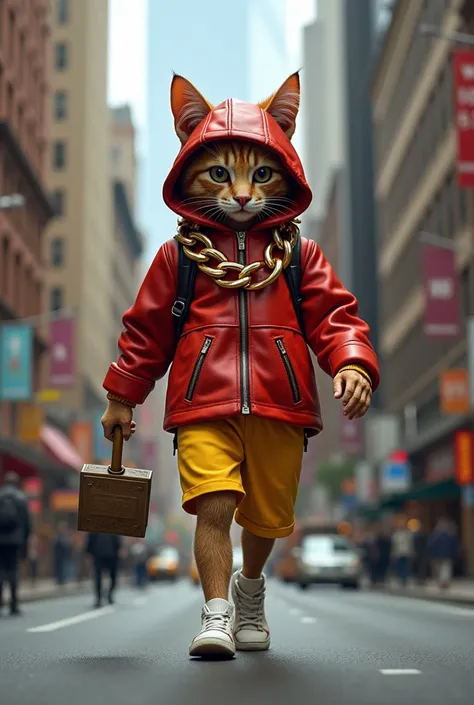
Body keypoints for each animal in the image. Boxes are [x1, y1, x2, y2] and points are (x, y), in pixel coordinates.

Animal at [101, 70, 378, 656]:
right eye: (219, 171)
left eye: (265, 171)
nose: (247, 198)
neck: (243, 237)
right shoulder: (167, 267)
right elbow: (146, 332)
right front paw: (213, 631)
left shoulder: (309, 258)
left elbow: (335, 313)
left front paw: (355, 375)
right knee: (235, 519)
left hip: (278, 468)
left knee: (264, 526)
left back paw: (250, 620)